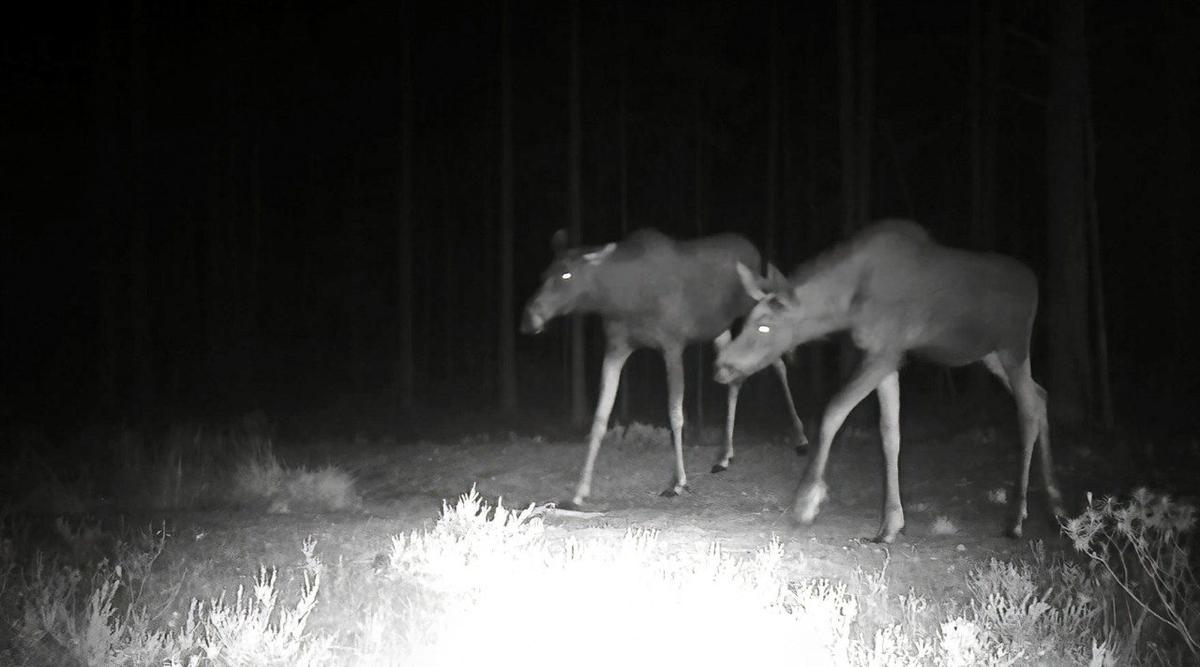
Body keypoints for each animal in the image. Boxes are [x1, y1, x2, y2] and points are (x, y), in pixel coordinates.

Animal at [523, 226, 811, 508]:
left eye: (566, 274)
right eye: (544, 274)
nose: (529, 319)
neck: (623, 299)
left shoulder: (672, 345)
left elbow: (675, 413)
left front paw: (678, 482)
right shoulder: (616, 348)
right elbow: (599, 418)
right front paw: (580, 492)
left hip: (753, 309)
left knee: (779, 363)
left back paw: (801, 439)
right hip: (719, 328)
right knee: (735, 377)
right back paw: (724, 455)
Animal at [705, 221, 1065, 544]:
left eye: (765, 325)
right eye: (746, 321)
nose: (721, 367)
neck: (848, 305)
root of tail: (1034, 284)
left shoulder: (885, 353)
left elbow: (833, 412)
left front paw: (806, 501)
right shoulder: (888, 359)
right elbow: (889, 433)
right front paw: (890, 524)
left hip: (1013, 347)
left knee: (1028, 409)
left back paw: (1017, 518)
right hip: (990, 355)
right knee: (1041, 395)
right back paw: (1055, 505)